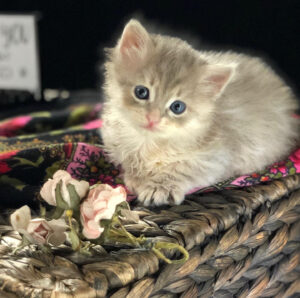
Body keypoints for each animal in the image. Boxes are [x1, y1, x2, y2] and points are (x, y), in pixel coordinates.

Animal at [101, 18, 300, 205]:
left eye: (177, 107)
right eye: (141, 92)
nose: (153, 118)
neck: (148, 142)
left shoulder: (214, 159)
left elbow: (181, 170)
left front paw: (160, 187)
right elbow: (130, 164)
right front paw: (135, 178)